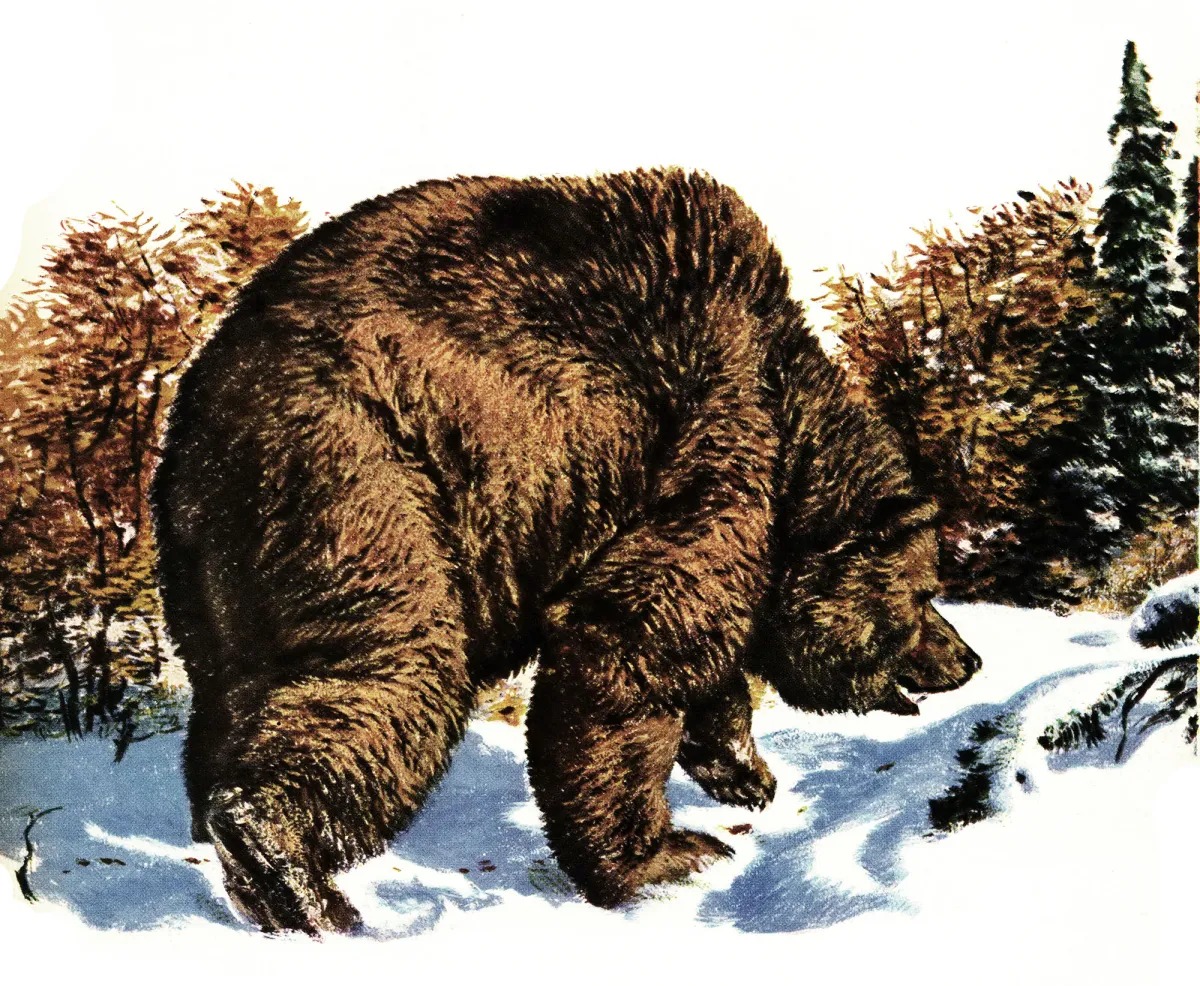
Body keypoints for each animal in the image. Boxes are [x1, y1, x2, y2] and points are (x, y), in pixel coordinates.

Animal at [151, 169, 980, 934]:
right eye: (925, 593)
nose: (969, 657)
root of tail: (198, 403)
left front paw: (745, 772)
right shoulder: (703, 434)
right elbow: (632, 639)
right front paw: (666, 854)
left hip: (216, 556)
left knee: (236, 687)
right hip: (362, 476)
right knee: (390, 664)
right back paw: (299, 880)